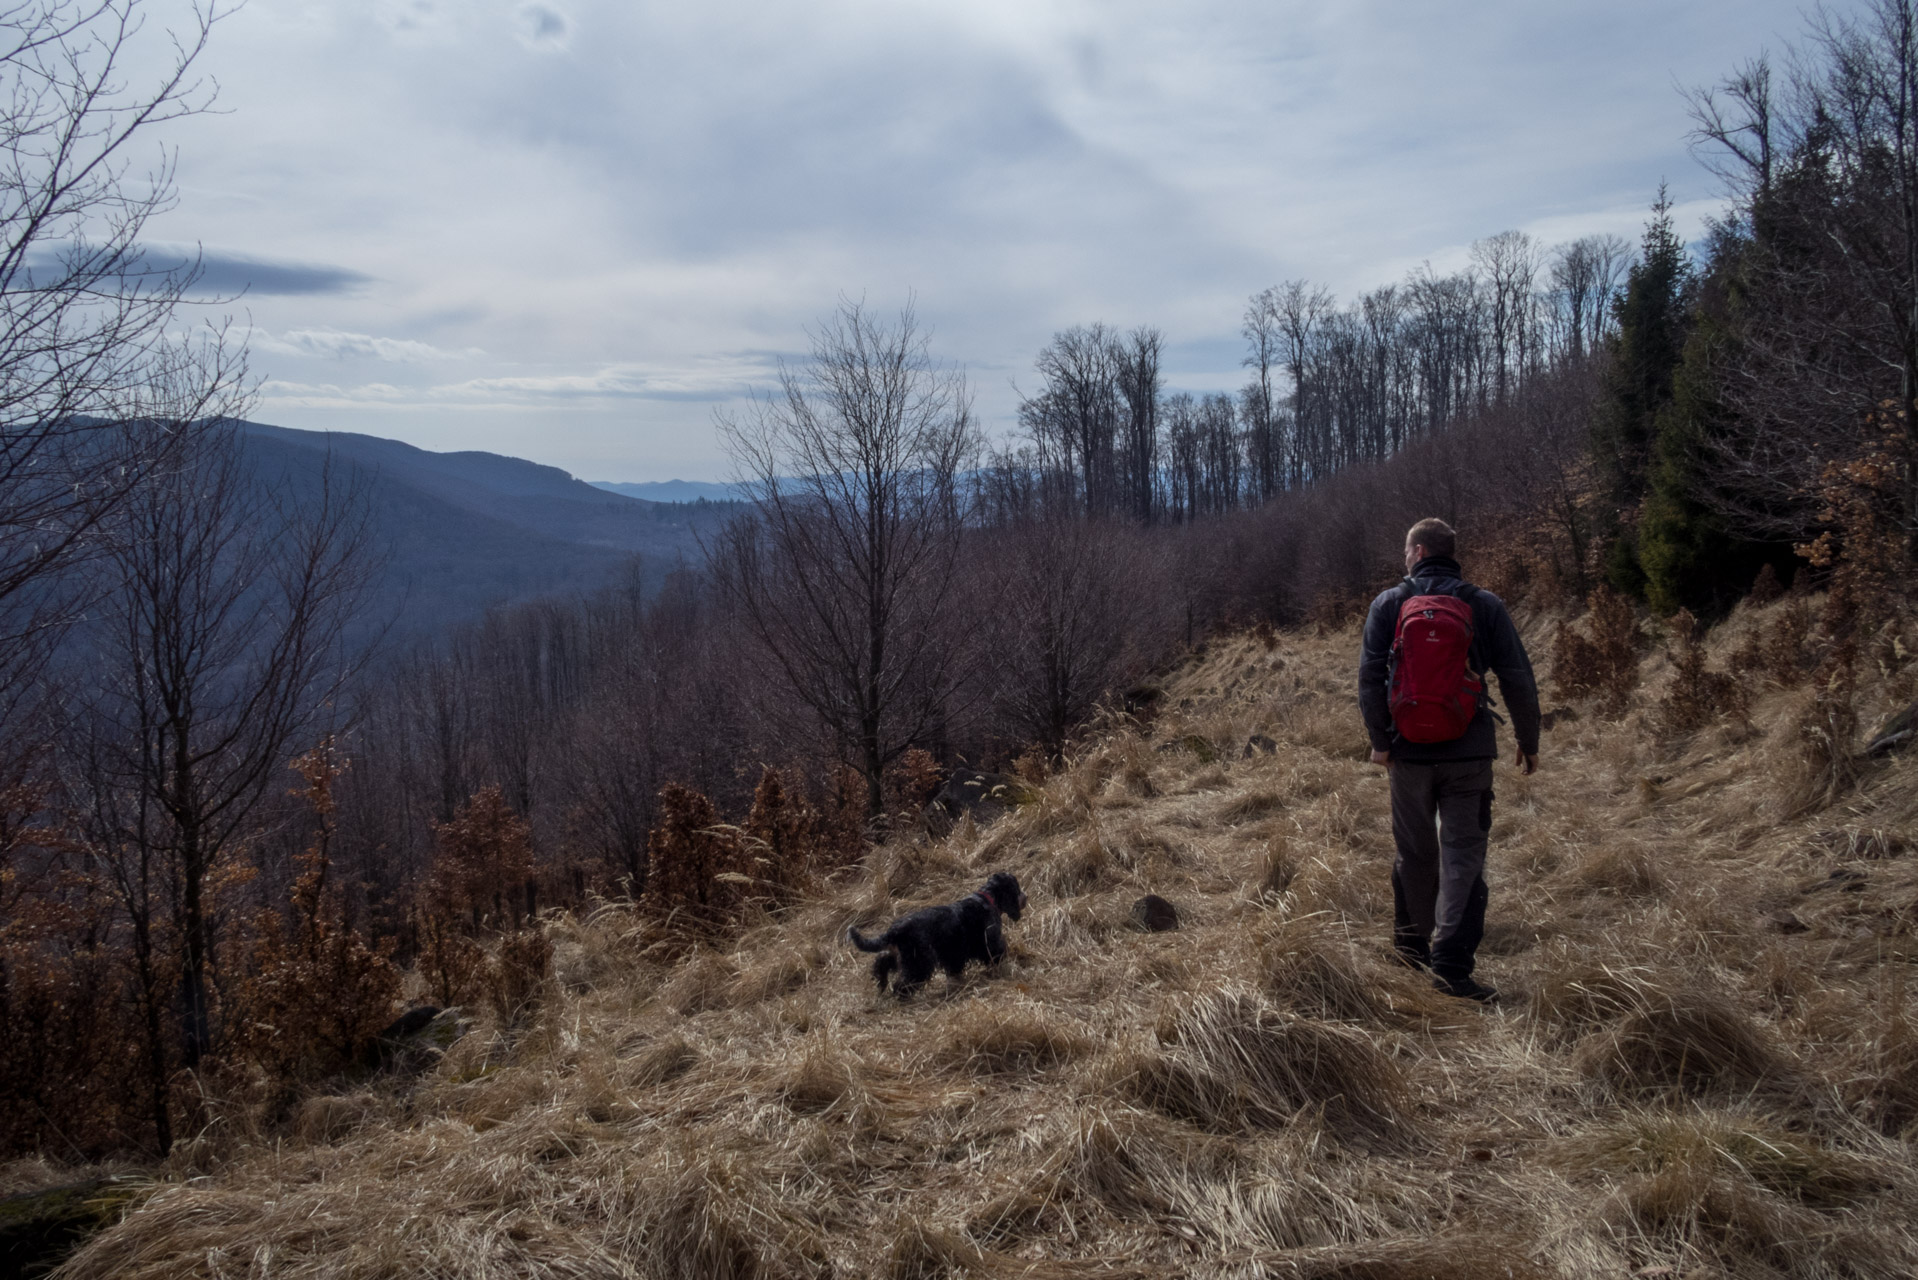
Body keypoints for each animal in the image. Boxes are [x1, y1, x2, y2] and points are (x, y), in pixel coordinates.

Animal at [851, 871, 1028, 997]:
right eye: (1017, 888)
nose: (1026, 897)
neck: (987, 899)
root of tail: (895, 930)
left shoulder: (955, 954)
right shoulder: (990, 942)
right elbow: (997, 953)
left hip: (901, 955)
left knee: (881, 961)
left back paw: (881, 983)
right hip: (919, 960)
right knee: (902, 983)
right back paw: (903, 996)